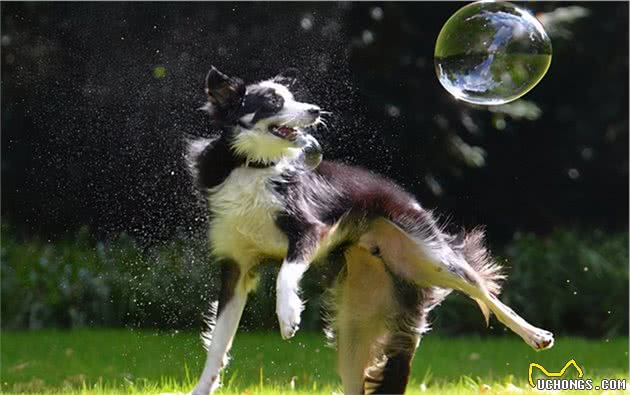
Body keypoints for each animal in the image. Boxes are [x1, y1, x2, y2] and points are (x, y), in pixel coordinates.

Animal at [185, 68, 556, 395]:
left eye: (292, 97)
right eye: (274, 101)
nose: (315, 110)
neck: (252, 166)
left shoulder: (310, 230)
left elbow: (285, 274)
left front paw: (288, 314)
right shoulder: (235, 268)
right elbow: (218, 344)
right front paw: (202, 388)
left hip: (432, 255)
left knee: (484, 291)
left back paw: (535, 334)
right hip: (355, 324)